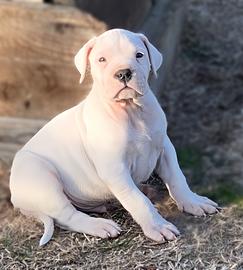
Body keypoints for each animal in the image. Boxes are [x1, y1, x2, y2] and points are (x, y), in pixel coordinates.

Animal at [9, 28, 218, 246]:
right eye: (102, 59)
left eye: (139, 55)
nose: (123, 73)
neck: (132, 110)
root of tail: (16, 198)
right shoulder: (115, 170)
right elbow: (137, 200)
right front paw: (158, 226)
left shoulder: (164, 147)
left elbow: (177, 177)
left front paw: (192, 201)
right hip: (43, 178)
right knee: (67, 215)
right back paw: (99, 225)